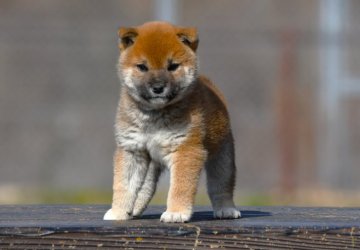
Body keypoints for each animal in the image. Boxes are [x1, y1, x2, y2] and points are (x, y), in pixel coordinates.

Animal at [103, 20, 239, 222]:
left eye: (173, 66)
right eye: (142, 67)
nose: (158, 87)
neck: (154, 115)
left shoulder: (186, 150)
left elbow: (179, 188)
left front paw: (176, 212)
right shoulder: (132, 149)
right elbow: (124, 186)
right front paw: (119, 211)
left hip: (222, 157)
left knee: (221, 186)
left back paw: (226, 209)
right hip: (151, 163)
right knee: (146, 188)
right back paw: (135, 209)